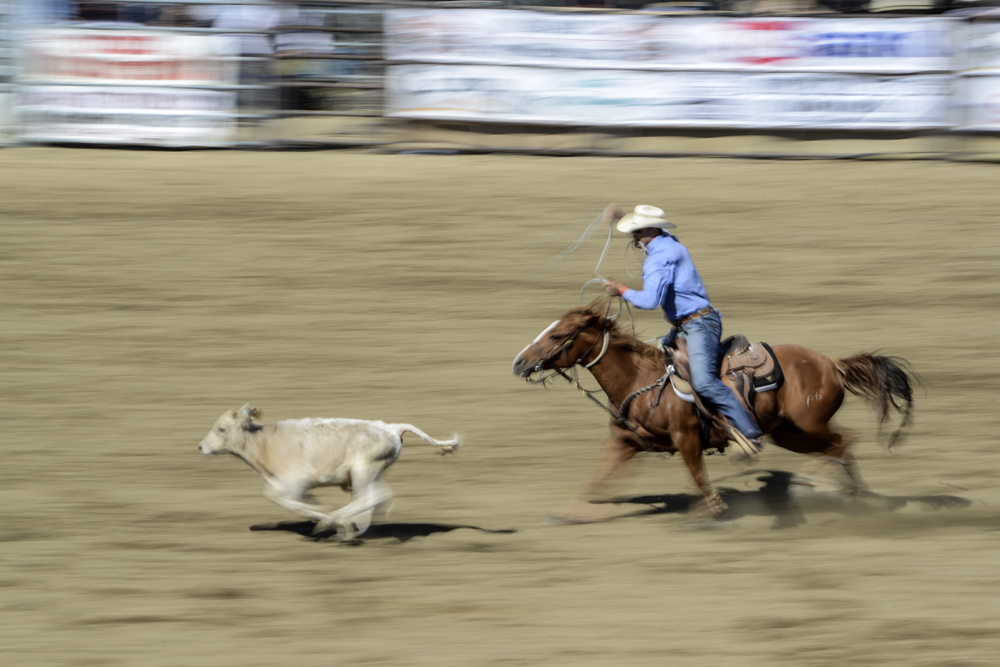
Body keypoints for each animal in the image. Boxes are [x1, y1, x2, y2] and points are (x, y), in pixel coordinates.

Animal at [512, 298, 916, 520]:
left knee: (843, 442)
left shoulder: (688, 438)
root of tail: (831, 362)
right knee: (838, 446)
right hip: (790, 433)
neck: (640, 380)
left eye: (556, 334)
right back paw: (851, 495)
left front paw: (711, 512)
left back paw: (830, 489)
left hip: (808, 425)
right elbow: (597, 479)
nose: (519, 362)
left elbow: (698, 476)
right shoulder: (624, 443)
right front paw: (568, 514)